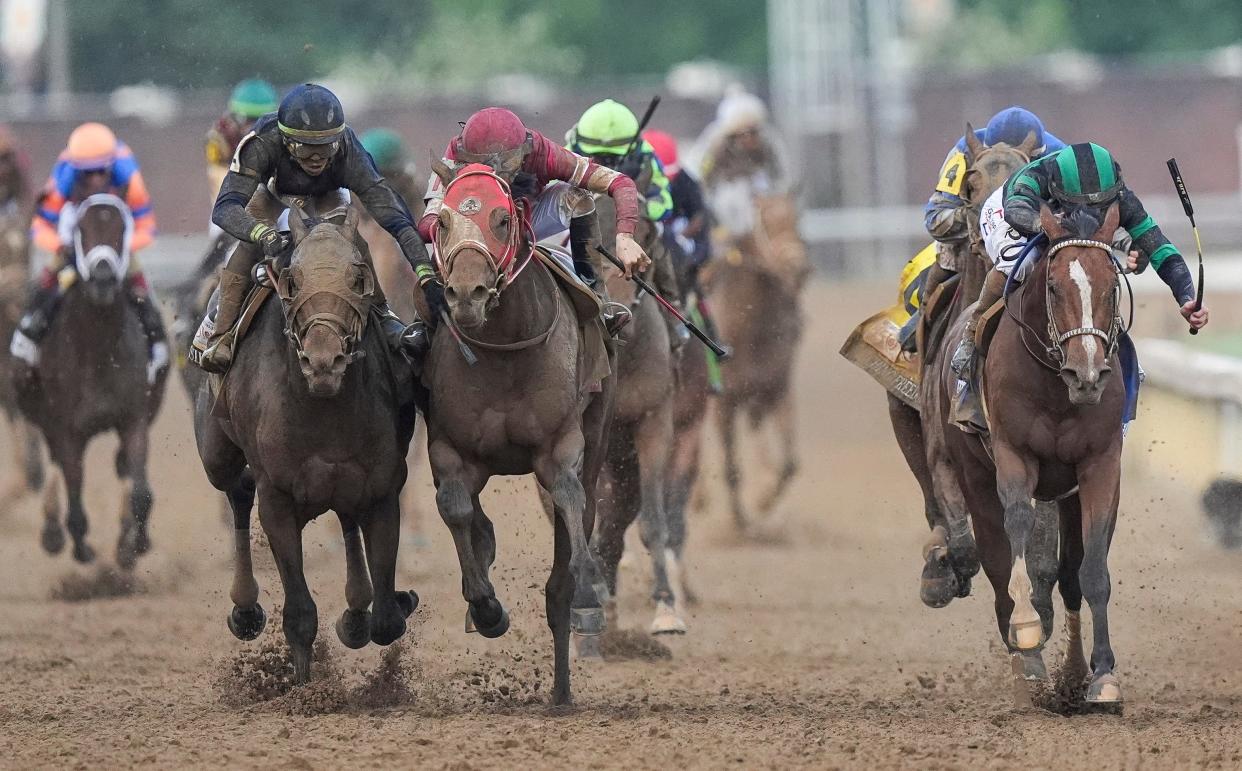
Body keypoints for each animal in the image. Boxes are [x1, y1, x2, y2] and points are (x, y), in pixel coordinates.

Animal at [17, 192, 168, 566]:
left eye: (121, 228)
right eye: (80, 230)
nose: (102, 279)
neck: (100, 350)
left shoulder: (133, 419)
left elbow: (141, 491)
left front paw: (134, 545)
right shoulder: (68, 428)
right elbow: (74, 494)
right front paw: (81, 547)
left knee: (122, 469)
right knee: (56, 463)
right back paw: (53, 533)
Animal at [194, 201, 422, 680]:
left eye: (359, 279)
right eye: (292, 280)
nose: (323, 361)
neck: (321, 404)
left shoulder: (382, 489)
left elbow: (388, 619)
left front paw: (381, 608)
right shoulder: (277, 497)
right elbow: (299, 613)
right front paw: (305, 685)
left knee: (346, 518)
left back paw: (355, 610)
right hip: (215, 452)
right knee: (237, 491)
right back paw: (245, 610)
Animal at [424, 161, 618, 705]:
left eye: (503, 218)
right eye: (442, 221)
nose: (466, 295)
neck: (504, 350)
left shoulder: (560, 445)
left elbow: (569, 498)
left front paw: (589, 585)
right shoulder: (450, 449)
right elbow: (456, 508)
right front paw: (485, 607)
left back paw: (562, 687)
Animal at [705, 192, 809, 531]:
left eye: (796, 219)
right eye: (765, 222)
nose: (799, 268)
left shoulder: (777, 390)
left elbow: (790, 463)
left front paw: (763, 500)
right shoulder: (723, 403)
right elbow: (730, 466)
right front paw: (739, 520)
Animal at [933, 202, 1132, 705]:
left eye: (1111, 285)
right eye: (1055, 286)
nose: (1087, 374)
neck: (1057, 388)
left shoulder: (1101, 463)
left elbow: (1090, 571)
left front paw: (1102, 675)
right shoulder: (1014, 453)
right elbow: (1018, 525)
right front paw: (1026, 630)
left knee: (1069, 576)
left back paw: (1071, 671)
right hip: (973, 471)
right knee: (996, 561)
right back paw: (1027, 662)